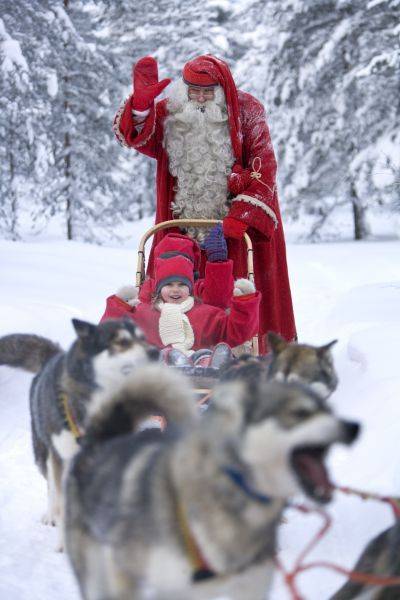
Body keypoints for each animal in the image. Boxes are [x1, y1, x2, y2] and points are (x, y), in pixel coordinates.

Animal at [0, 318, 157, 545]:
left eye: (143, 337)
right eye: (121, 342)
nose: (155, 352)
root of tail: (53, 357)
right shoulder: (62, 459)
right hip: (44, 454)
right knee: (52, 489)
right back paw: (51, 515)